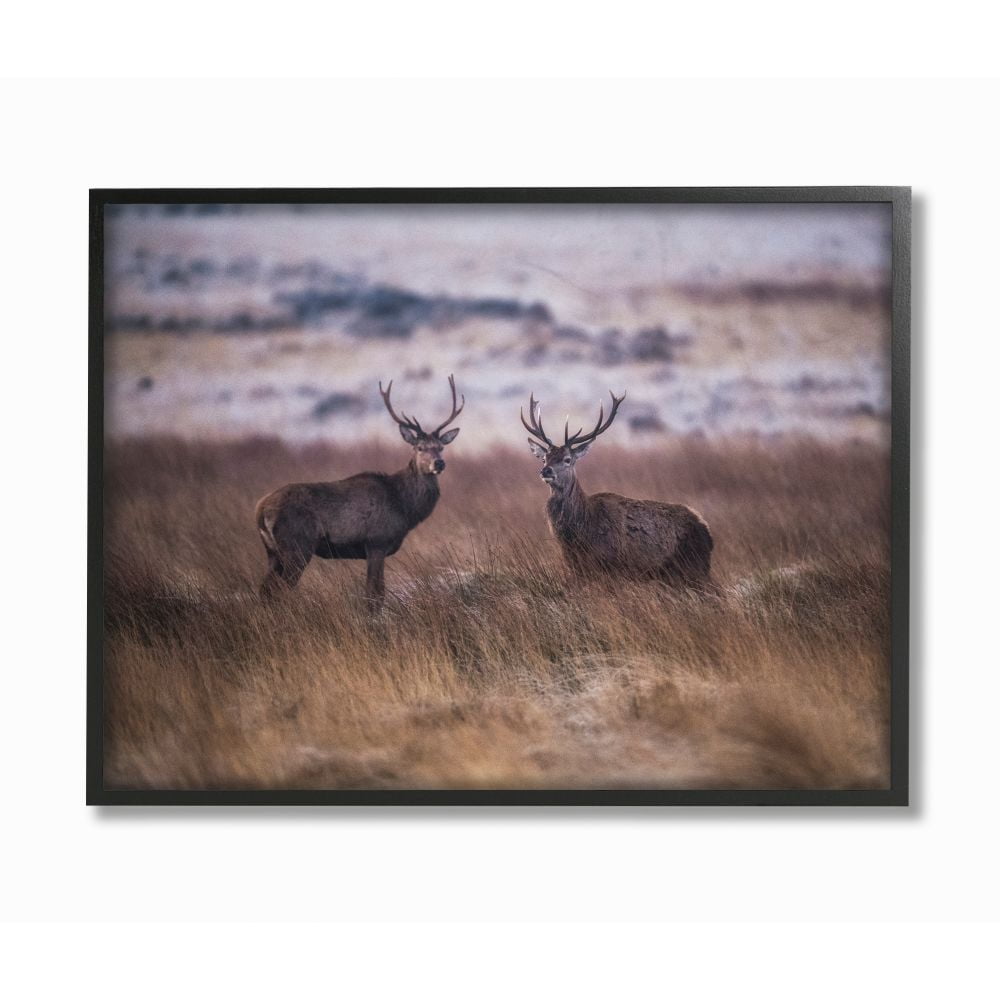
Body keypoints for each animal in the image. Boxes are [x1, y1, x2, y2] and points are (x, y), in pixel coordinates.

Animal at [255, 374, 463, 608]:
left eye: (441, 447)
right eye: (420, 448)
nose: (439, 463)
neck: (404, 507)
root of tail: (260, 510)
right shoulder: (377, 541)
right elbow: (375, 593)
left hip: (273, 551)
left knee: (265, 589)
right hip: (297, 545)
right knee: (280, 589)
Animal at [521, 390, 714, 588]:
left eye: (567, 459)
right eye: (544, 458)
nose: (546, 471)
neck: (580, 531)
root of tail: (705, 530)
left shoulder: (611, 564)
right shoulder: (576, 566)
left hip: (693, 567)